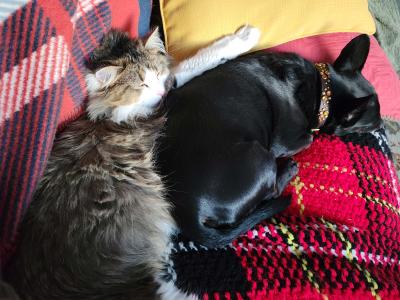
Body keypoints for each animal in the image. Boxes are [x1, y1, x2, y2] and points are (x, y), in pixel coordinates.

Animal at [7, 26, 260, 300]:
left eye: (156, 74)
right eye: (141, 84)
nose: (159, 91)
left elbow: (179, 69)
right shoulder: (163, 105)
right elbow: (190, 64)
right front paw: (243, 38)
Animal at [156, 34, 382, 247]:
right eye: (368, 125)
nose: (382, 123)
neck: (320, 89)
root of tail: (187, 212)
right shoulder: (287, 141)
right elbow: (309, 137)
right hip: (261, 158)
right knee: (272, 191)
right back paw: (289, 170)